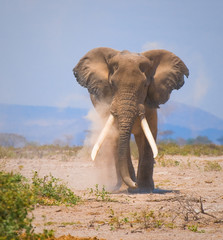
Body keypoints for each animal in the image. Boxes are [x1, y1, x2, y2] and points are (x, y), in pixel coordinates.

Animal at [74, 47, 189, 193]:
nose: (134, 184)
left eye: (145, 85)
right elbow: (118, 137)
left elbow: (148, 135)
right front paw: (128, 187)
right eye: (112, 84)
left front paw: (144, 189)